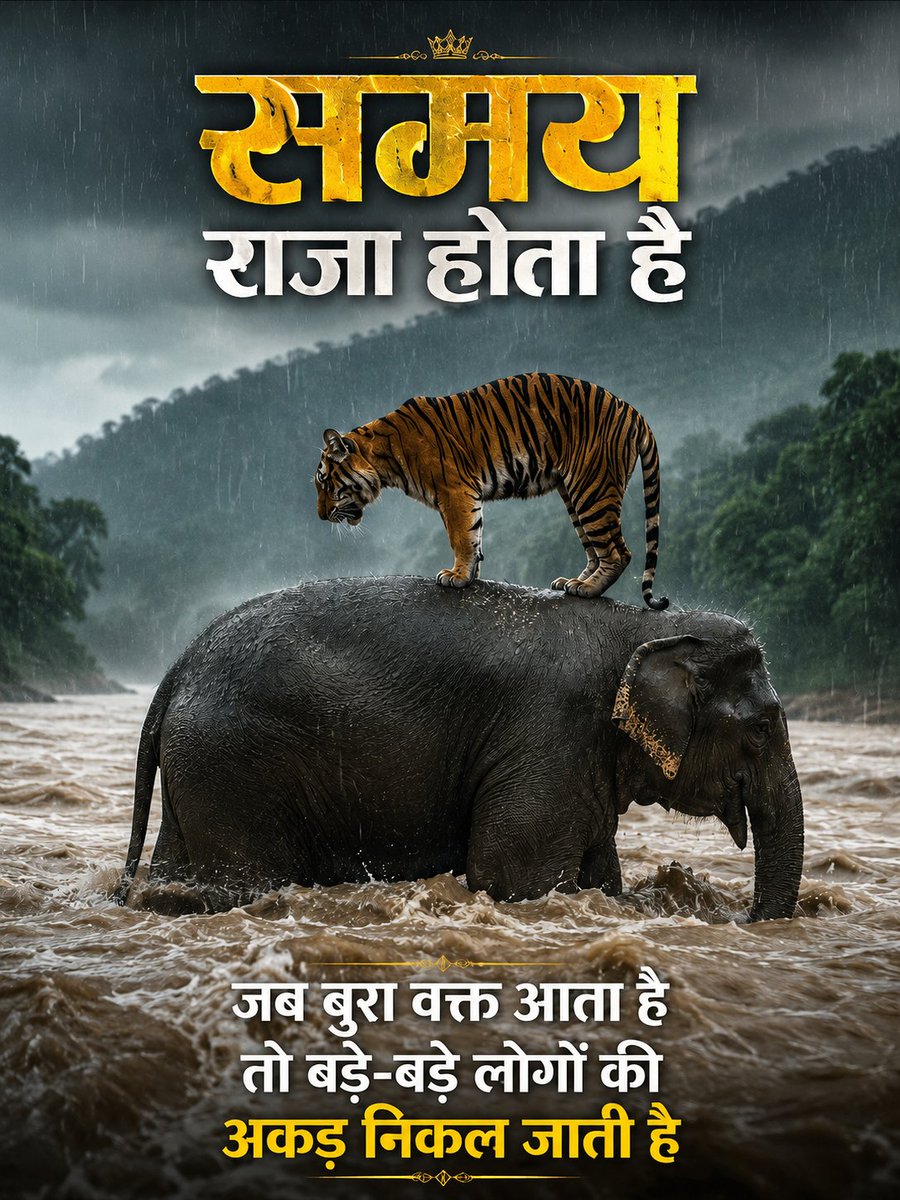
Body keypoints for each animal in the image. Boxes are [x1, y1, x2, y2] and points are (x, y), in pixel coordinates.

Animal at [114, 577, 804, 921]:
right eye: (765, 725)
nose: (742, 919)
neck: (643, 625)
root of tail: (177, 670)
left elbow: (598, 878)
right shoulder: (549, 740)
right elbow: (515, 881)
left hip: (200, 770)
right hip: (236, 768)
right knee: (255, 879)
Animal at [315, 372, 668, 608]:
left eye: (324, 481)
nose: (320, 516)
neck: (385, 456)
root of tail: (631, 408)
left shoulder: (454, 491)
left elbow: (460, 536)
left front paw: (456, 576)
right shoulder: (460, 496)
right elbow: (474, 535)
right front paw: (469, 575)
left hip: (592, 486)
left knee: (619, 551)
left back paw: (588, 589)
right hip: (574, 493)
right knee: (595, 547)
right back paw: (574, 582)